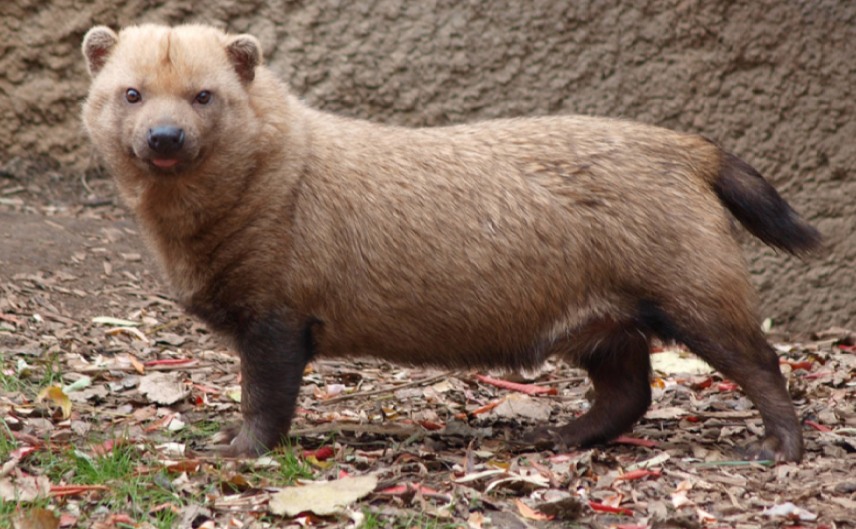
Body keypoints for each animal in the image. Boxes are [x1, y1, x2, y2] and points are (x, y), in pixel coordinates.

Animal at [82, 23, 824, 458]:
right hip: (603, 323)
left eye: (204, 95)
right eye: (131, 93)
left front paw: (234, 448)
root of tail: (692, 149)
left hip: (696, 290)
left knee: (759, 362)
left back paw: (779, 447)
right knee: (628, 392)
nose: (165, 137)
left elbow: (266, 398)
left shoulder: (277, 316)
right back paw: (554, 435)